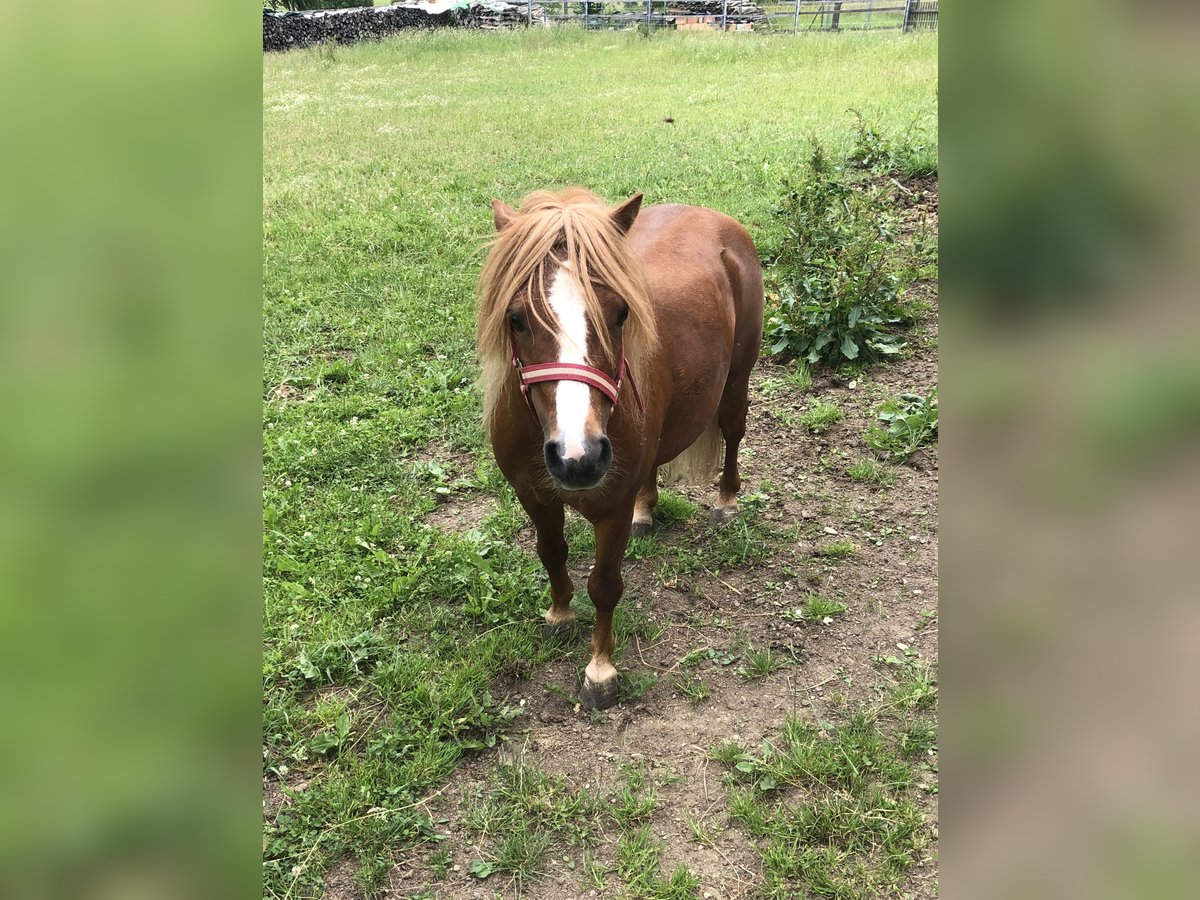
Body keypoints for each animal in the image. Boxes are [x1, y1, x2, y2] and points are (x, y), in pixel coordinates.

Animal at [475, 188, 763, 710]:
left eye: (621, 313)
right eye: (517, 318)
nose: (580, 457)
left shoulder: (610, 508)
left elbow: (605, 585)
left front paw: (600, 670)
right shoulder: (533, 497)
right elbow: (552, 552)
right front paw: (559, 615)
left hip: (737, 381)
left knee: (734, 434)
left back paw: (727, 501)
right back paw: (646, 512)